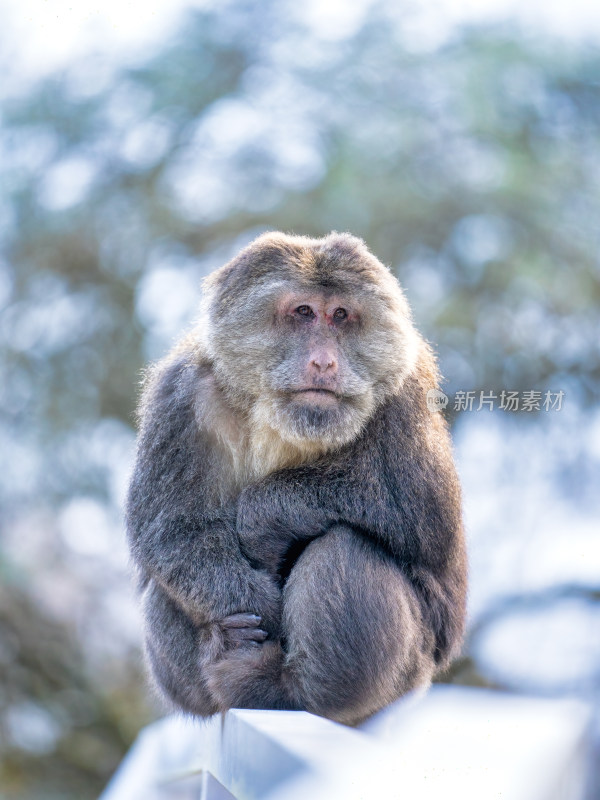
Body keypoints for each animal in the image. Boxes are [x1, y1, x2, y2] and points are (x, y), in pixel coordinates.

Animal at [124, 230, 466, 724]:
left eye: (340, 315)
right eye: (303, 313)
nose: (324, 363)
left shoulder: (406, 394)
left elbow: (424, 520)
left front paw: (265, 517)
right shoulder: (180, 397)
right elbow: (171, 531)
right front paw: (258, 607)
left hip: (405, 678)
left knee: (344, 545)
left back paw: (286, 689)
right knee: (165, 588)